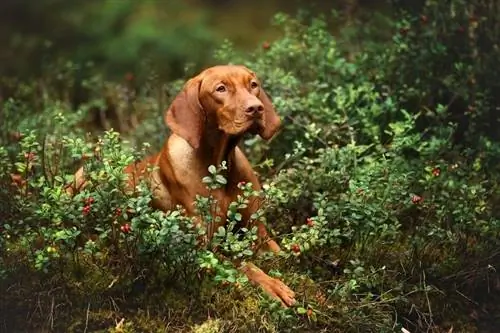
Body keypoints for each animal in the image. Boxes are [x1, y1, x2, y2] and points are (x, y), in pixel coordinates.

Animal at [69, 64, 296, 306]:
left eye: (253, 85)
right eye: (221, 89)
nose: (256, 108)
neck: (219, 163)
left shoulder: (259, 233)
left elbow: (281, 253)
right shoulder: (204, 246)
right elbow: (243, 266)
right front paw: (272, 285)